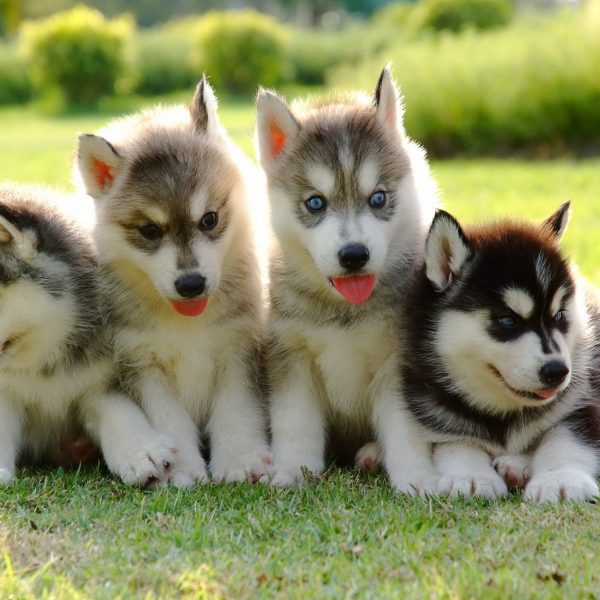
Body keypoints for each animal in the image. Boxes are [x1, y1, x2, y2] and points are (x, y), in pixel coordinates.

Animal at [75, 76, 272, 488]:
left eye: (210, 219)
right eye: (150, 231)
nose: (191, 284)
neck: (187, 325)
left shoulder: (238, 347)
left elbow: (237, 410)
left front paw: (240, 458)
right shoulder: (141, 363)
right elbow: (169, 421)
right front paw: (179, 469)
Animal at [394, 206, 600, 502]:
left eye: (559, 316)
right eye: (507, 320)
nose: (558, 372)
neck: (502, 414)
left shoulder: (583, 401)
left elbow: (566, 440)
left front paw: (559, 480)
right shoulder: (439, 417)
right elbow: (458, 444)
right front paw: (471, 476)